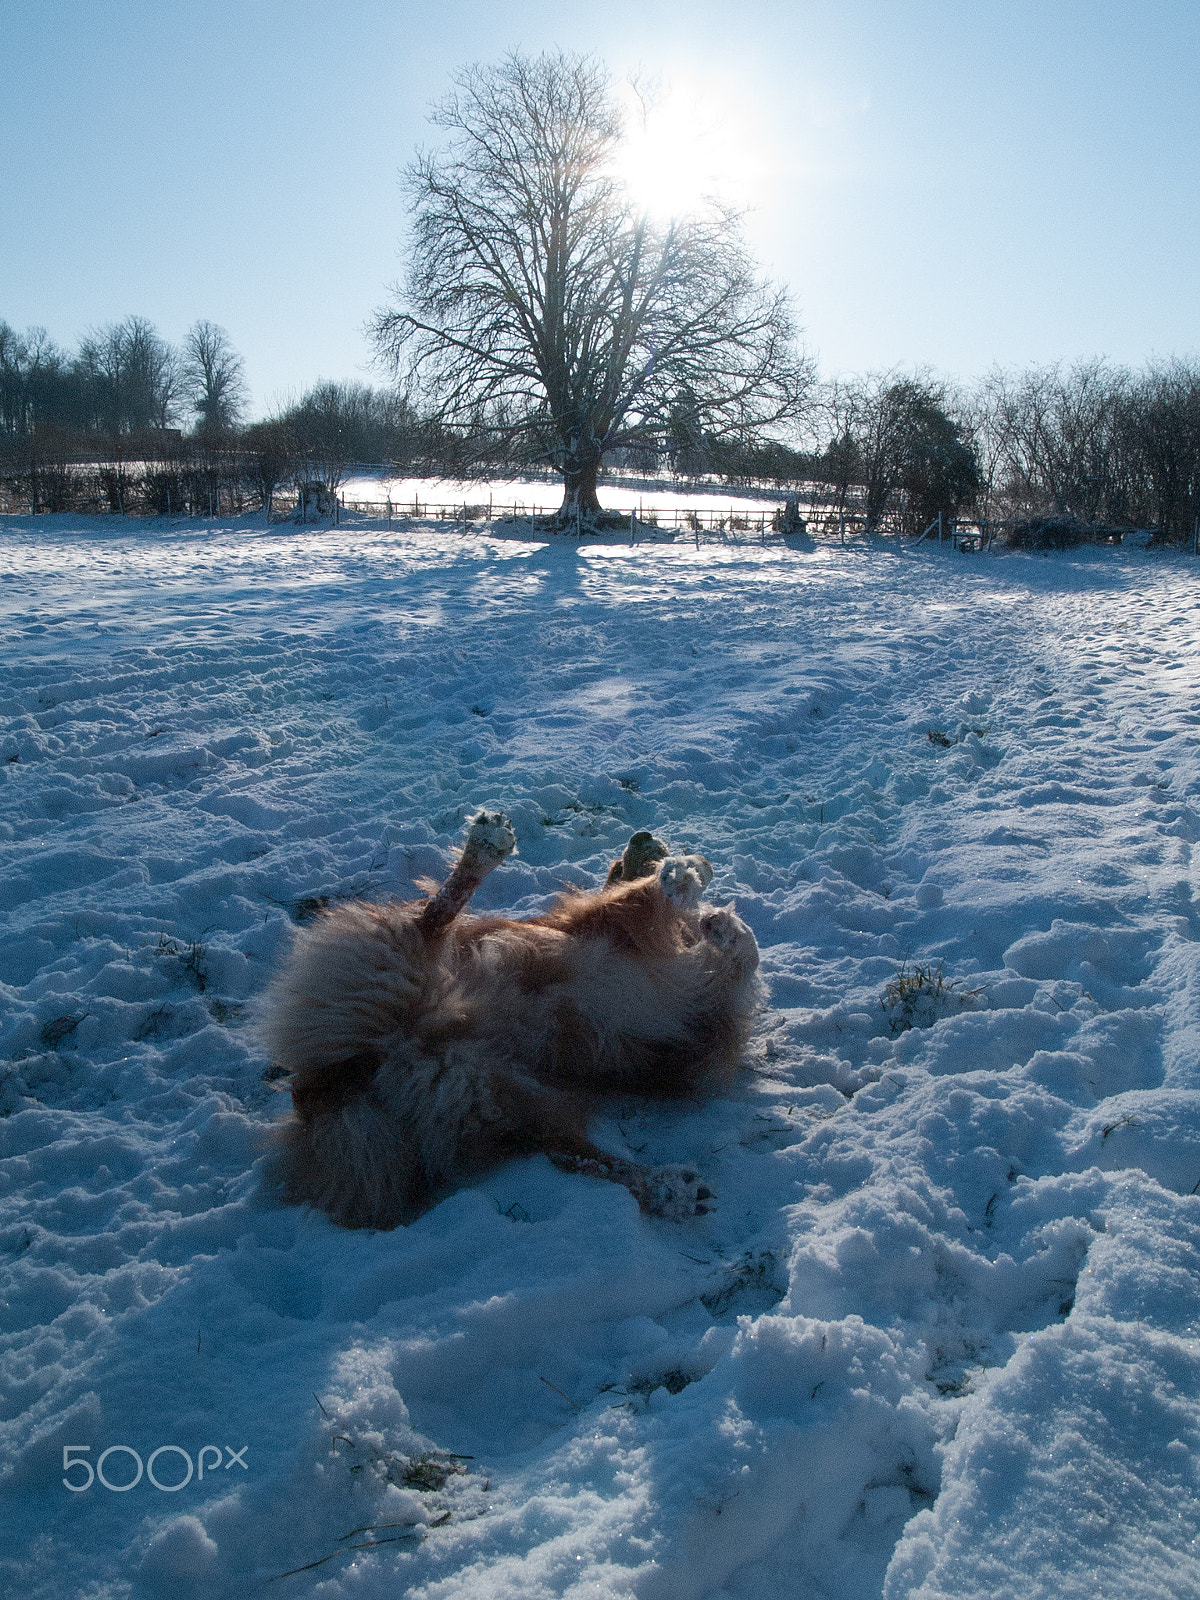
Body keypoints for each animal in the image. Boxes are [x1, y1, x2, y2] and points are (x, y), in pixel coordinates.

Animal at [262, 806, 761, 1228]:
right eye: (619, 861)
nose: (643, 837)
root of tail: (348, 1069)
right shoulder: (604, 925)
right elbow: (655, 902)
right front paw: (688, 877)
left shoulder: (694, 1049)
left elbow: (739, 964)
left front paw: (720, 922)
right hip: (393, 968)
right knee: (432, 917)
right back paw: (485, 847)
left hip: (508, 1096)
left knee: (570, 1152)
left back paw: (668, 1188)